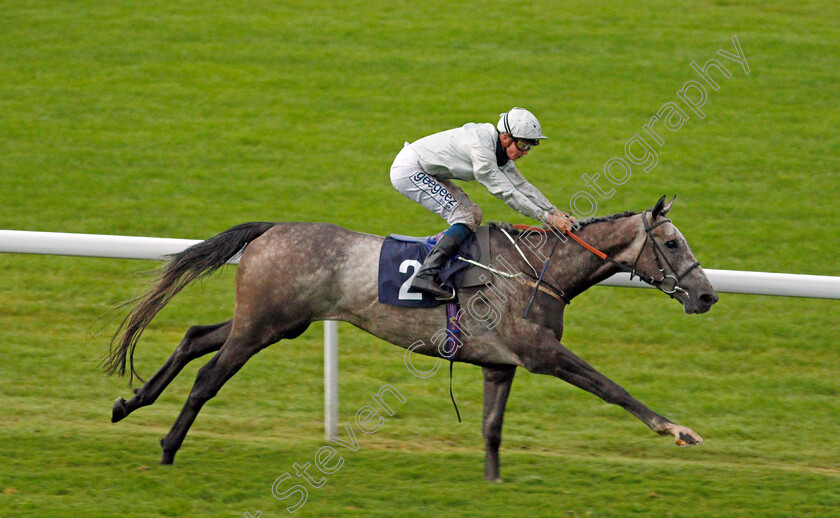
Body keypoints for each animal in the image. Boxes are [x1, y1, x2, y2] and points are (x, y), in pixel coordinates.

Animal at [105, 197, 720, 482]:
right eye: (671, 242)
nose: (707, 295)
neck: (538, 270)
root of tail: (272, 229)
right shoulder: (541, 354)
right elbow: (612, 388)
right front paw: (678, 431)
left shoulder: (501, 363)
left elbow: (492, 428)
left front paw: (493, 483)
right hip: (262, 324)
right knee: (208, 378)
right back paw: (167, 446)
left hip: (273, 321)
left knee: (193, 336)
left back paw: (129, 403)